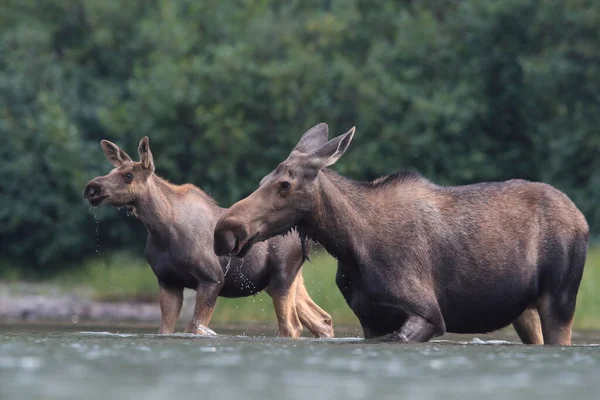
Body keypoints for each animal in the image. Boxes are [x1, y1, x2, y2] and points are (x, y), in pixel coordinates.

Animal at [82, 137, 332, 338]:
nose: (91, 188)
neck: (161, 230)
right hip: (287, 281)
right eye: (111, 171)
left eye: (128, 175)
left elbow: (194, 328)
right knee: (322, 320)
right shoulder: (168, 281)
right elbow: (166, 330)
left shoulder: (211, 279)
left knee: (292, 326)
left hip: (282, 277)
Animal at [213, 123, 588, 346]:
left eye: (285, 184)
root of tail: (582, 218)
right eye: (263, 179)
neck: (349, 243)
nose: (225, 229)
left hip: (560, 298)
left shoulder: (429, 314)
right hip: (524, 309)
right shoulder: (370, 319)